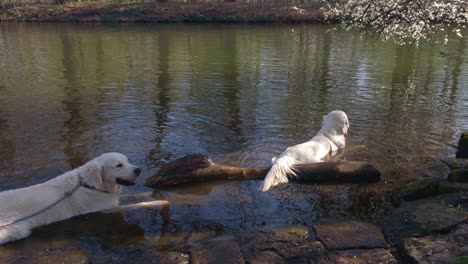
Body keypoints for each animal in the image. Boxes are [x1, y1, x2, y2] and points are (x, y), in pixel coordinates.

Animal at [0, 153, 141, 245]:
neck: (91, 184)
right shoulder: (106, 209)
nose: (139, 169)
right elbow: (136, 205)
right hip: (17, 229)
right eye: (118, 165)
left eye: (127, 161)